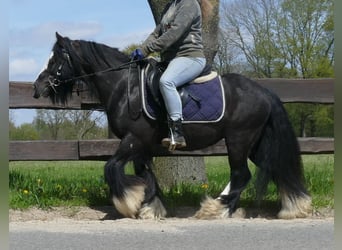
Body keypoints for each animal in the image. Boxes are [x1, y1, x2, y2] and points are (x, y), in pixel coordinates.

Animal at [33, 33, 312, 219]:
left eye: (55, 60)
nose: (37, 87)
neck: (125, 86)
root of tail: (264, 92)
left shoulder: (132, 139)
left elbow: (111, 168)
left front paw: (129, 203)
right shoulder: (142, 144)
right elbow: (146, 174)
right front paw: (150, 207)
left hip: (238, 140)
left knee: (241, 174)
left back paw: (216, 208)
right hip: (255, 143)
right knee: (271, 167)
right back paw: (292, 206)